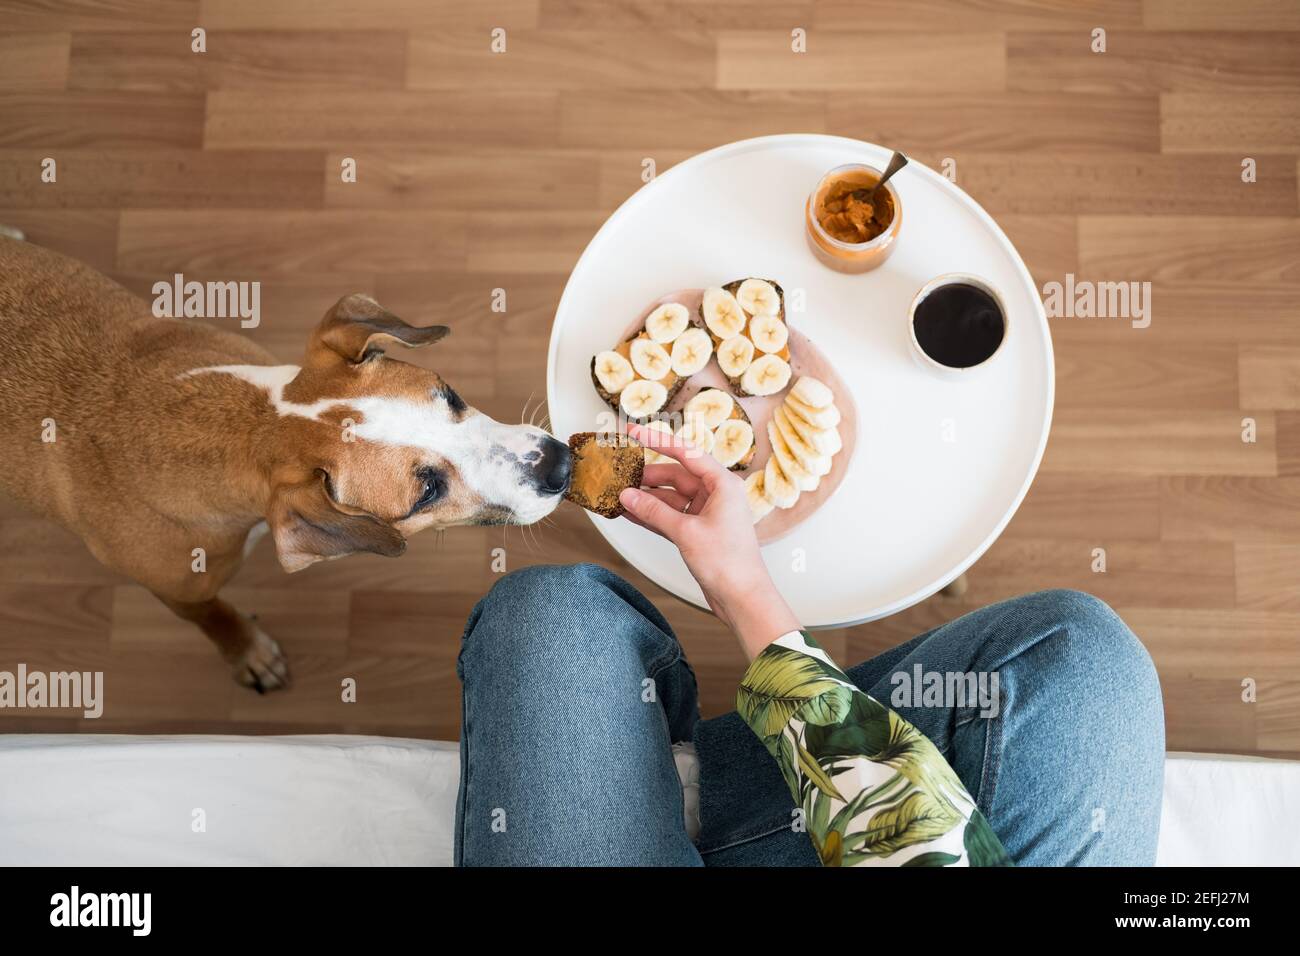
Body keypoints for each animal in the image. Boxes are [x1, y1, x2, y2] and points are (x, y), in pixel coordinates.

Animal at [0, 236, 569, 691]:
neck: (246, 428)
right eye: (427, 490)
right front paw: (248, 653)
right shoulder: (179, 591)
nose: (559, 465)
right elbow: (213, 615)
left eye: (449, 394)